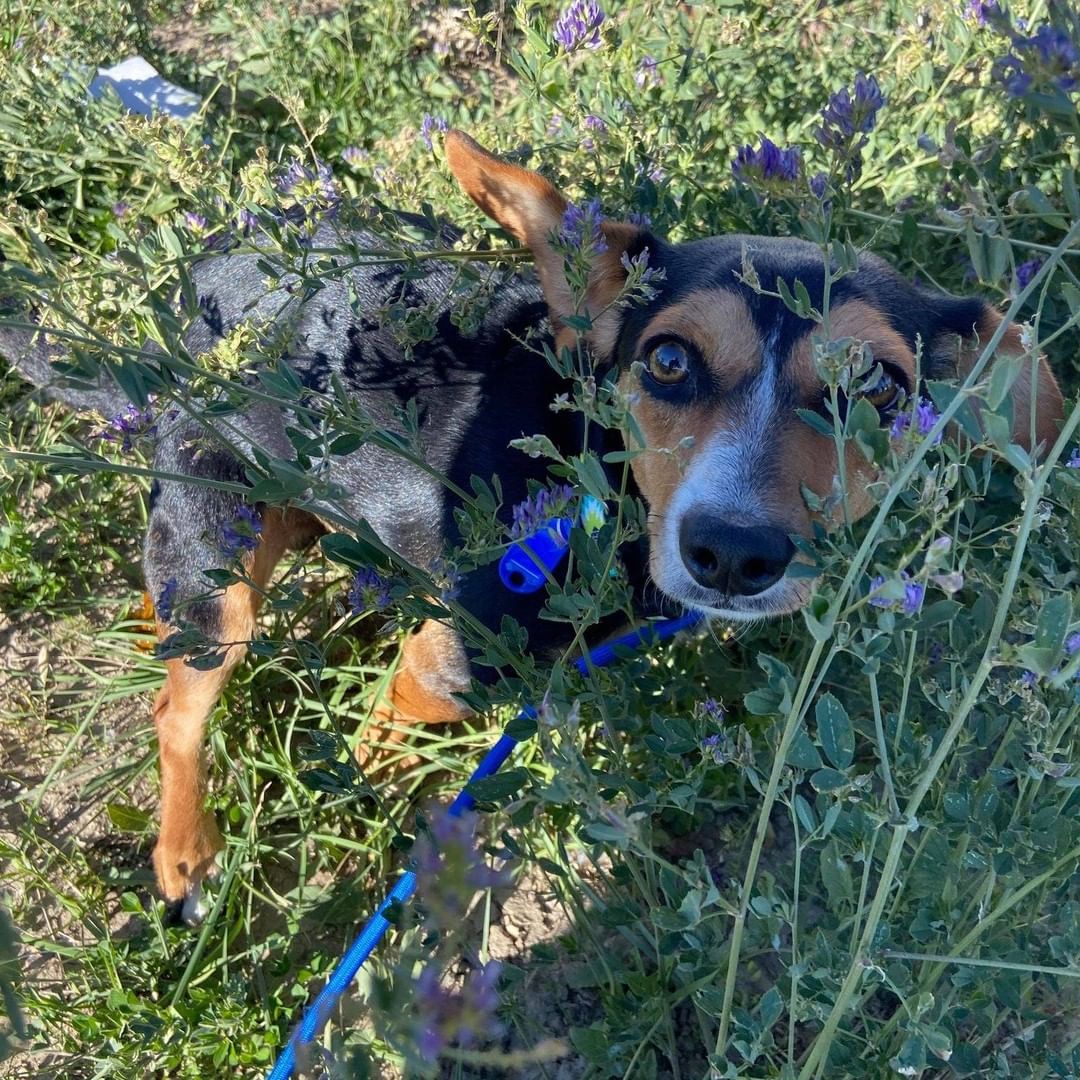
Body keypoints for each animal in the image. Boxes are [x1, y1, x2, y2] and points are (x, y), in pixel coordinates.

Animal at [0, 128, 1062, 920]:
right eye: (667, 360)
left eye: (878, 385)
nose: (732, 551)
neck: (600, 483)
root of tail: (181, 323)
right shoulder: (443, 665)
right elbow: (386, 736)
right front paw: (372, 784)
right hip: (222, 573)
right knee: (178, 709)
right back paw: (187, 853)